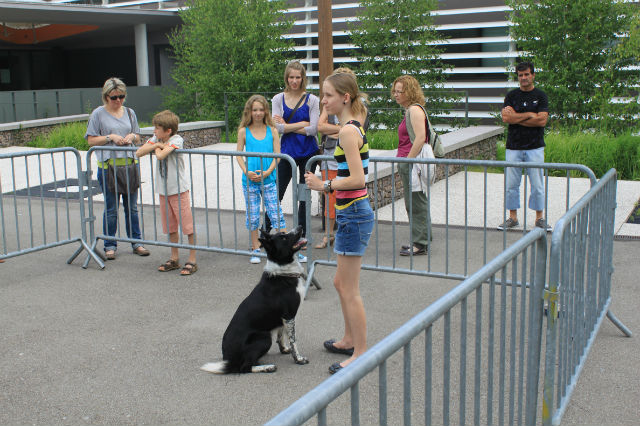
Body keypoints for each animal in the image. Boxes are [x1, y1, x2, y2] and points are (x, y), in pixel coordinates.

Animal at [200, 226, 310, 372]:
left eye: (283, 233)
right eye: (284, 238)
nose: (300, 227)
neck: (283, 272)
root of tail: (229, 361)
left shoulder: (283, 318)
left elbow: (281, 336)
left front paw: (284, 349)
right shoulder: (289, 315)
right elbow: (293, 340)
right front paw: (298, 359)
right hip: (264, 337)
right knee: (245, 367)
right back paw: (267, 367)